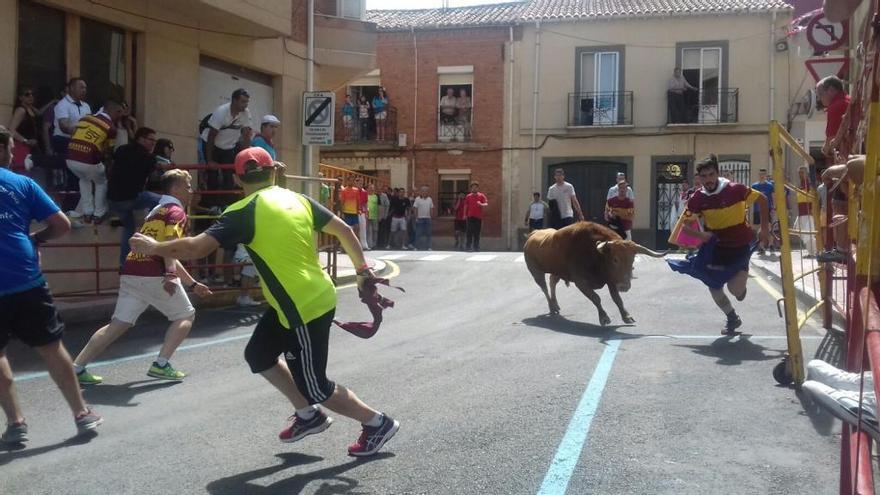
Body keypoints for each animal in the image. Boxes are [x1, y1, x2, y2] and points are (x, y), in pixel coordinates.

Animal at [524, 222, 664, 326]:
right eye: (615, 259)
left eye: (632, 260)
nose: (624, 286)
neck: (596, 254)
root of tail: (533, 235)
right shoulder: (581, 282)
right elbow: (596, 298)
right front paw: (604, 318)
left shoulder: (611, 280)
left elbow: (617, 299)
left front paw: (627, 316)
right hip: (536, 272)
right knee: (544, 287)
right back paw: (552, 307)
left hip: (558, 271)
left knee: (552, 282)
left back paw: (556, 305)